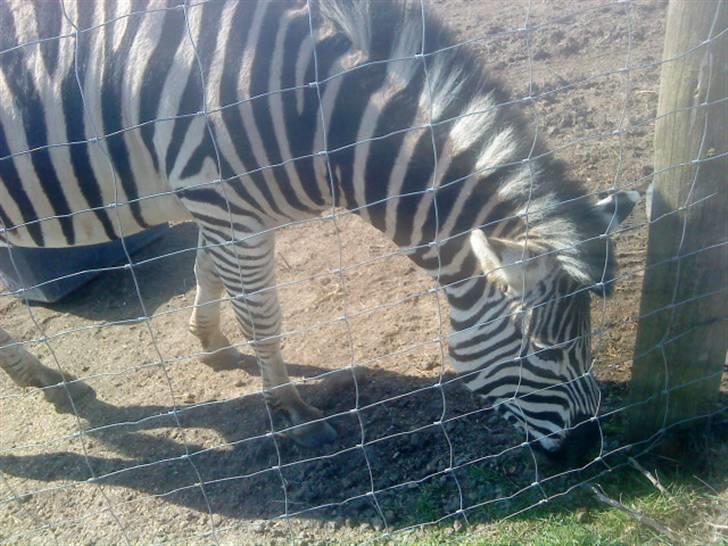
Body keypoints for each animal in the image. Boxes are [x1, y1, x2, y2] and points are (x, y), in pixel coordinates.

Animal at [0, 0, 637, 463]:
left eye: (588, 343)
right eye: (547, 352)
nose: (592, 449)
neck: (308, 106)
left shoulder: (218, 205)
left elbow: (207, 270)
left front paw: (211, 344)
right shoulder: (222, 203)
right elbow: (262, 317)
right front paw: (292, 413)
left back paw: (48, 382)